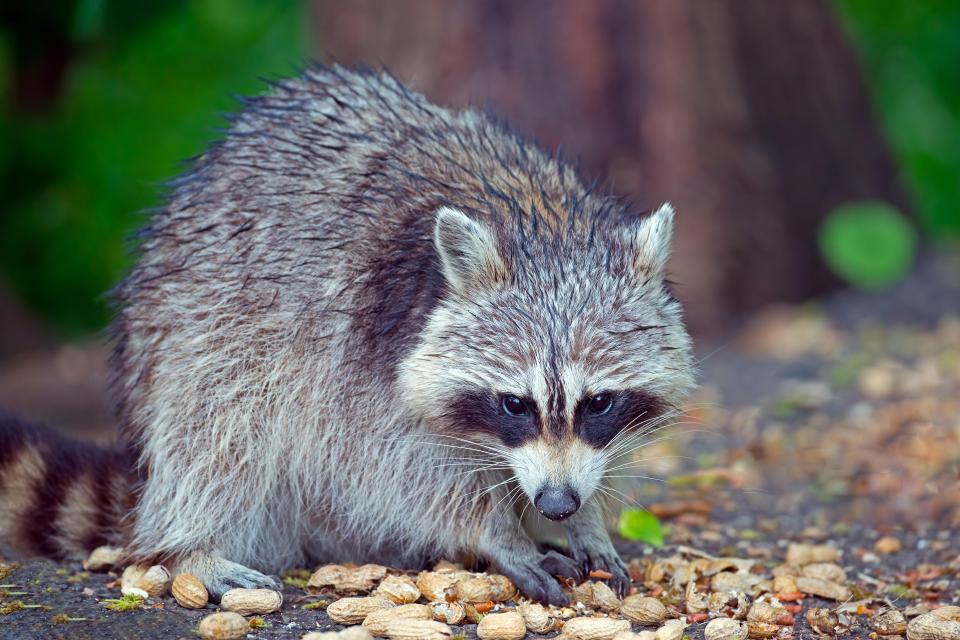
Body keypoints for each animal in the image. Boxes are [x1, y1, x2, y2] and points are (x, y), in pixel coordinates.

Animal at [0, 65, 692, 604]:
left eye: (598, 402)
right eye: (514, 404)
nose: (555, 504)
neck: (545, 226)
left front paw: (588, 519)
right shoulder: (357, 358)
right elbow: (385, 468)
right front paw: (495, 532)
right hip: (191, 323)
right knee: (217, 427)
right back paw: (190, 544)